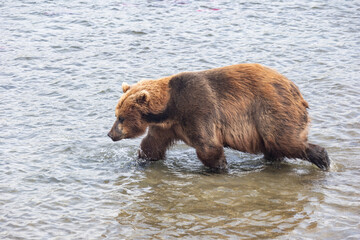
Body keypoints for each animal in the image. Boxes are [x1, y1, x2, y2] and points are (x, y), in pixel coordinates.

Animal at [108, 62, 330, 170]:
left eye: (121, 117)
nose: (111, 134)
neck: (170, 107)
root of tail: (296, 91)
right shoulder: (167, 127)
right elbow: (151, 146)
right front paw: (139, 161)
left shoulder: (197, 109)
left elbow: (208, 146)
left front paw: (220, 168)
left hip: (273, 109)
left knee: (283, 140)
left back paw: (323, 160)